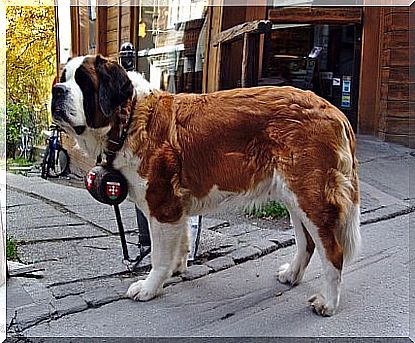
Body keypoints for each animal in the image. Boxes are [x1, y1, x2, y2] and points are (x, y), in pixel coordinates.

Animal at [50, 55, 360, 318]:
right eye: (63, 77)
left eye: (84, 81)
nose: (57, 91)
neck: (130, 117)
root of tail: (334, 110)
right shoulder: (176, 208)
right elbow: (182, 241)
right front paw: (177, 269)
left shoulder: (162, 205)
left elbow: (159, 256)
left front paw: (150, 287)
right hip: (294, 196)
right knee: (307, 242)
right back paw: (291, 275)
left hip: (310, 197)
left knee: (333, 252)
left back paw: (328, 303)